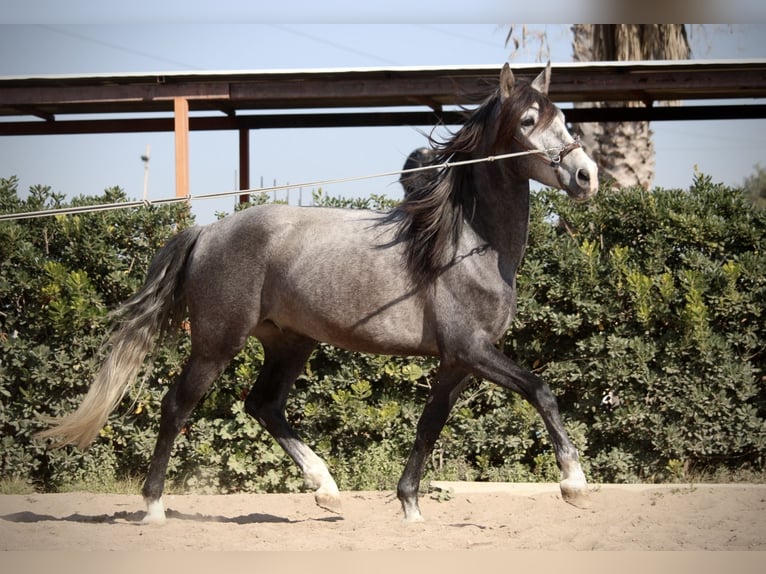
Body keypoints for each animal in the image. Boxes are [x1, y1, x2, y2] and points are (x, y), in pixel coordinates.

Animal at [37, 64, 600, 528]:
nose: (586, 176)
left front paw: (410, 507)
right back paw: (153, 508)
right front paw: (573, 483)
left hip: (290, 342)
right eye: (527, 121)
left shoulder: (457, 362)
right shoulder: (472, 349)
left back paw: (325, 487)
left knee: (263, 405)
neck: (465, 243)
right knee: (177, 405)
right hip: (217, 343)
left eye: (564, 118)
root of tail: (207, 231)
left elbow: (429, 425)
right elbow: (540, 389)